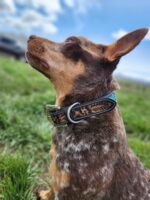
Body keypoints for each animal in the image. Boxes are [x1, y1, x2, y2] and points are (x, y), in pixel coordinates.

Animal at [26, 28, 149, 200]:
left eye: (71, 41)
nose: (30, 36)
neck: (84, 112)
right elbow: (50, 189)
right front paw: (44, 193)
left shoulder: (68, 192)